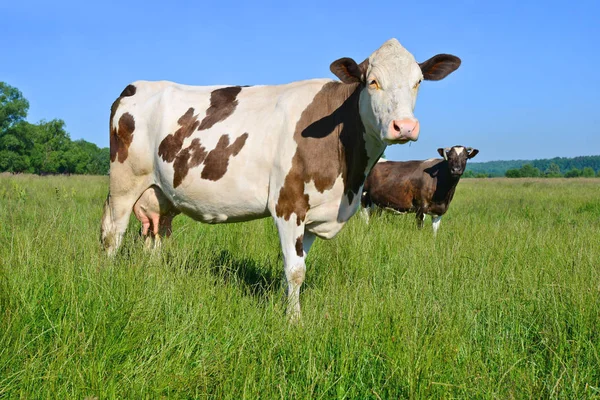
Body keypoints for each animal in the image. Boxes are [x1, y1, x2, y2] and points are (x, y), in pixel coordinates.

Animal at [102, 37, 460, 318]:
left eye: (418, 81)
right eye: (372, 81)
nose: (405, 126)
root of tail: (136, 86)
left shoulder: (315, 215)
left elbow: (301, 267)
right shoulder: (288, 204)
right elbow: (295, 270)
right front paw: (294, 322)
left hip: (159, 193)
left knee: (154, 235)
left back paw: (154, 279)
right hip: (124, 183)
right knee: (113, 233)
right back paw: (107, 277)